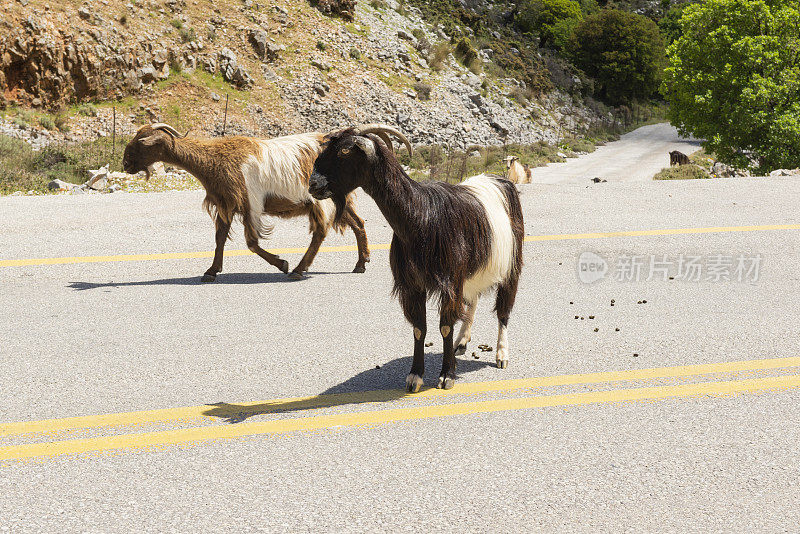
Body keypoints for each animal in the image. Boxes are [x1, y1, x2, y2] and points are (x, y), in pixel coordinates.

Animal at [122, 124, 372, 282]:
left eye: (142, 143)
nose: (125, 164)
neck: (213, 160)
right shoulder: (226, 204)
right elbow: (220, 238)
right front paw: (211, 271)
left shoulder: (250, 203)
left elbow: (251, 243)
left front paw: (281, 263)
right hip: (336, 198)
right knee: (358, 223)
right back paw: (361, 263)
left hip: (320, 199)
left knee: (320, 232)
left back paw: (298, 270)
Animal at [308, 126, 524, 394]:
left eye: (346, 150)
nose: (313, 183)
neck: (421, 217)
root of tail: (499, 179)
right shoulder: (413, 284)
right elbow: (419, 329)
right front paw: (415, 376)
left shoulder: (450, 281)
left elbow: (445, 326)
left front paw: (446, 375)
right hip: (473, 270)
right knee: (472, 301)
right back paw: (462, 342)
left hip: (511, 262)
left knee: (504, 310)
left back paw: (501, 354)